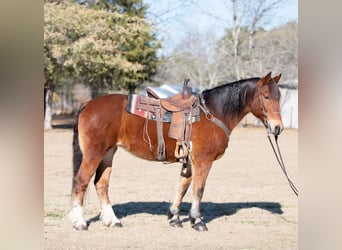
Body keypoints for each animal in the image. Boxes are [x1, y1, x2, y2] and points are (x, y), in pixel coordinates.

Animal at [69, 71, 284, 231]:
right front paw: (198, 221)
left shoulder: (189, 162)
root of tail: (87, 104)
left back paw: (112, 220)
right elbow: (198, 190)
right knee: (81, 181)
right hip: (93, 154)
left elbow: (182, 187)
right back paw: (79, 222)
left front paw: (174, 218)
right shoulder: (203, 160)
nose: (277, 128)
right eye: (266, 96)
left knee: (101, 184)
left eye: (279, 97)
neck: (213, 112)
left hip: (108, 153)